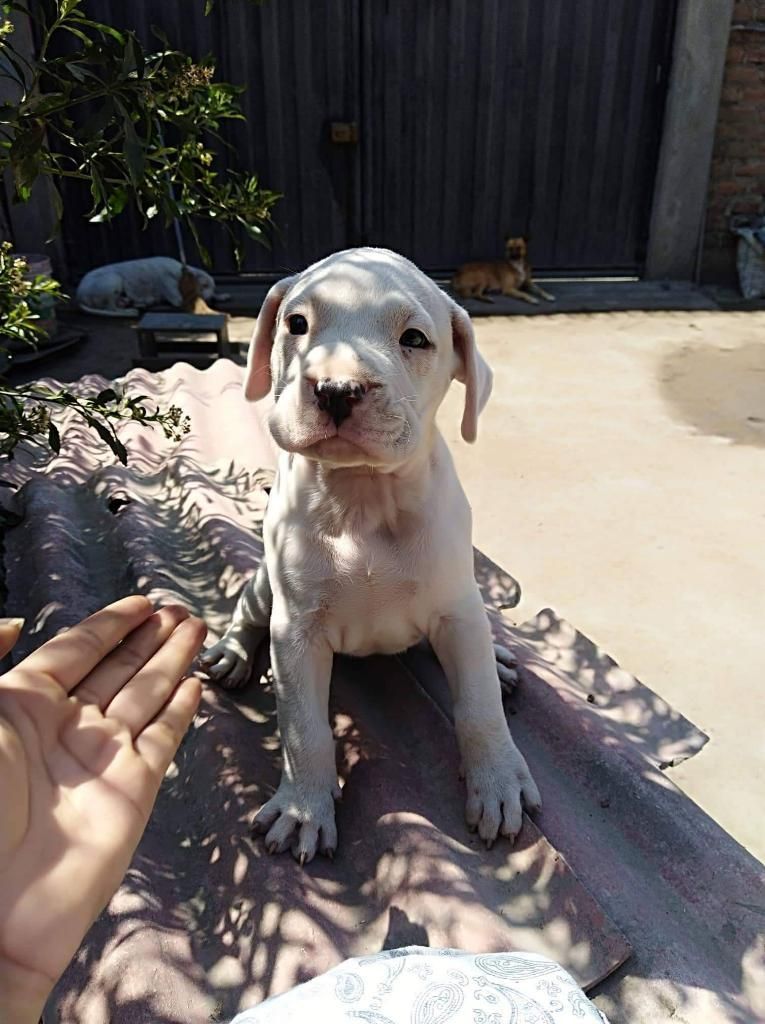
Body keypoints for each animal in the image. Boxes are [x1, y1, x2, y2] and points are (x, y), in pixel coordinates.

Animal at [75, 254, 215, 313]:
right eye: (204, 285)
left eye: (212, 287)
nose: (209, 299)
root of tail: (79, 294)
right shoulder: (173, 292)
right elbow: (179, 300)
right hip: (113, 280)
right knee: (111, 308)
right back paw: (130, 310)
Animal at [200, 247, 540, 864]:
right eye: (296, 324)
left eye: (414, 339)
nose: (337, 388)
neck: (363, 498)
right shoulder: (297, 630)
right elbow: (303, 728)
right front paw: (304, 809)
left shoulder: (457, 608)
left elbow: (479, 708)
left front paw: (498, 781)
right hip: (264, 586)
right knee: (248, 613)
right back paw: (232, 653)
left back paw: (498, 661)